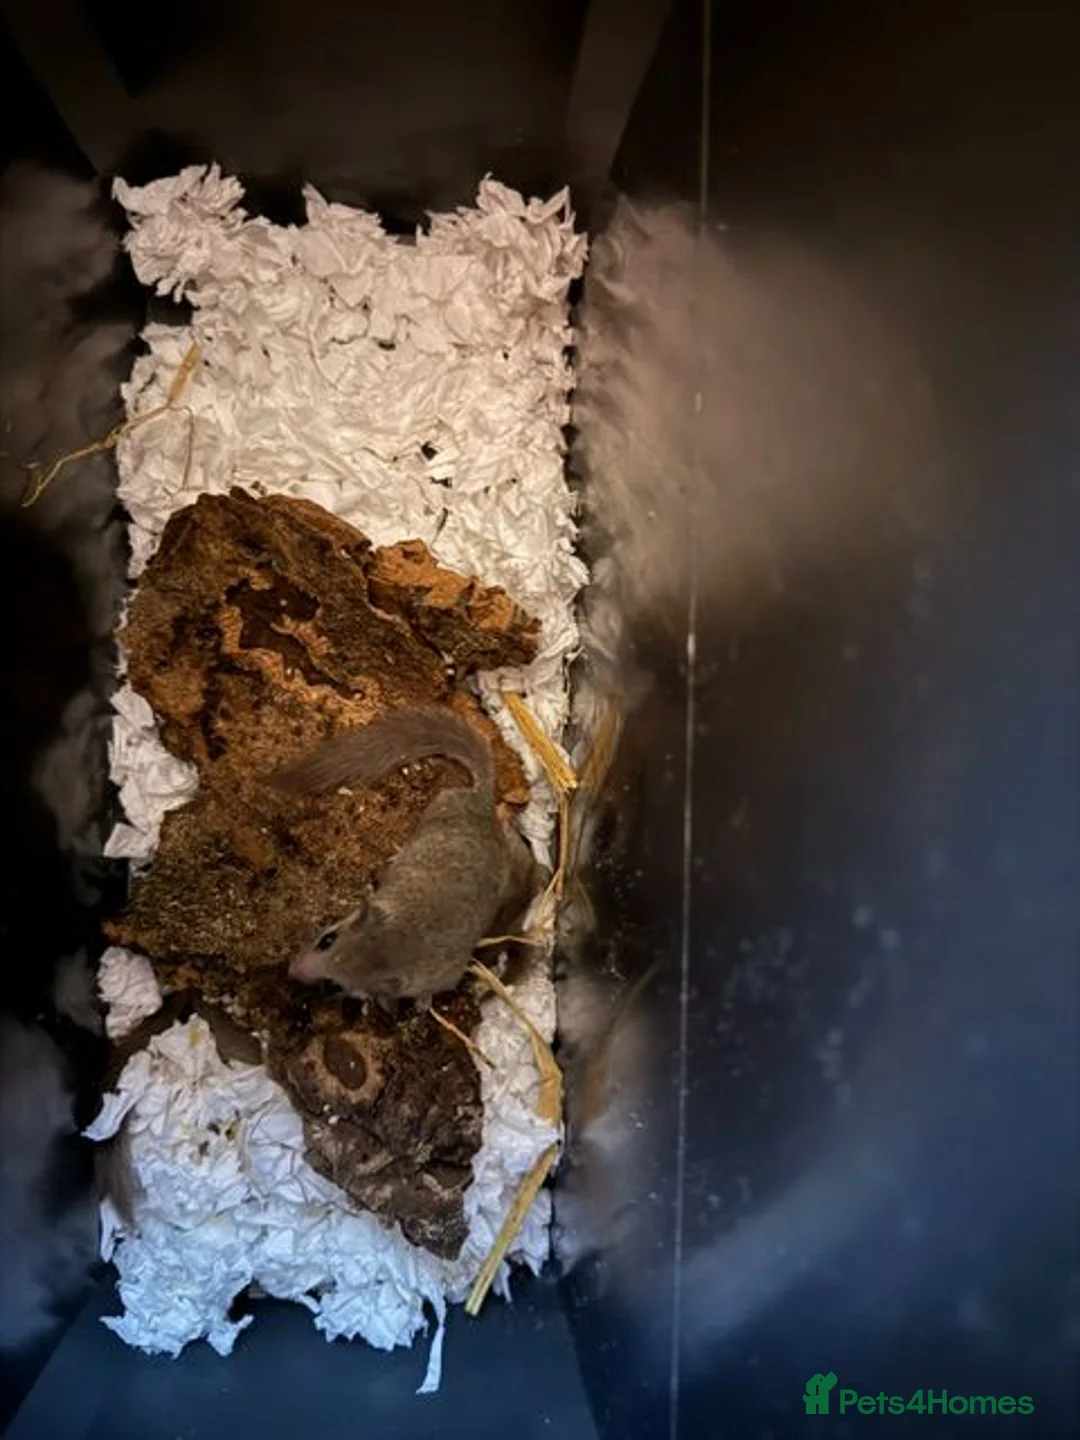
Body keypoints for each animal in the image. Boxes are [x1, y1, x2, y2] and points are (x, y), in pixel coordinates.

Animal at [268, 705, 543, 1007]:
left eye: (332, 985)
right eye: (327, 940)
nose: (291, 971)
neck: (397, 939)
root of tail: (482, 800)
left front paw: (416, 1004)